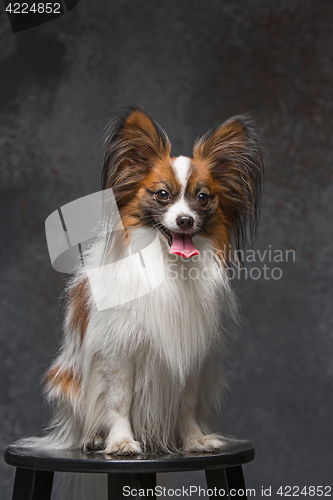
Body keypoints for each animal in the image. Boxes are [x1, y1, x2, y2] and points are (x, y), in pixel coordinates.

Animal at [26, 107, 264, 456]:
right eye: (162, 195)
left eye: (202, 197)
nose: (185, 220)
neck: (167, 264)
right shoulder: (118, 352)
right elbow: (119, 400)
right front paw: (121, 441)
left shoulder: (189, 354)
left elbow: (186, 404)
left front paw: (194, 440)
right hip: (66, 380)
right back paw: (92, 438)